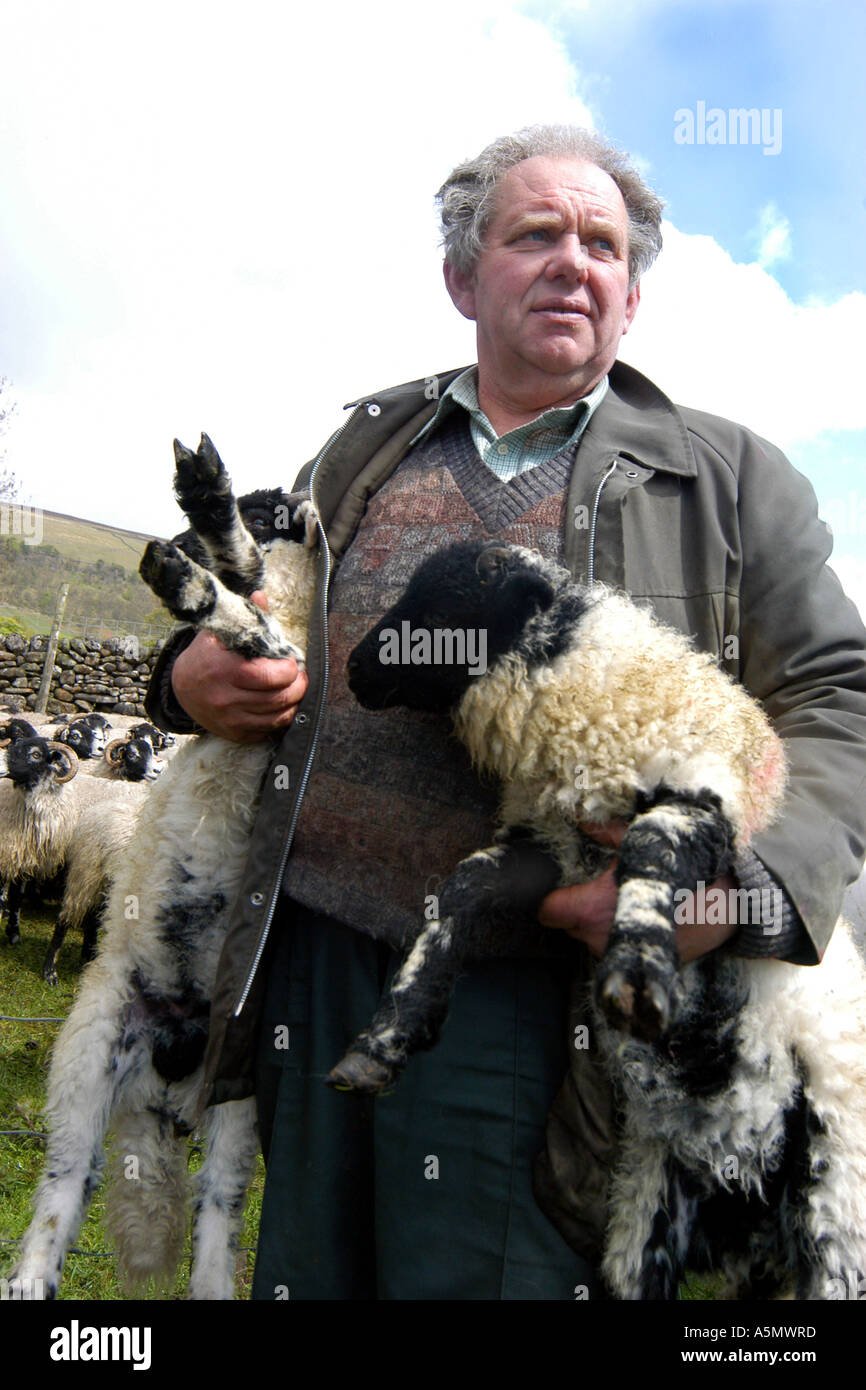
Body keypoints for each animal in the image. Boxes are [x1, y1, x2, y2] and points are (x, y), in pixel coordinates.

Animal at [7, 433, 318, 1301]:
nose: (304, 504)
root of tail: (169, 1084)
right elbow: (250, 595)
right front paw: (205, 511)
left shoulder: (296, 677)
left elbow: (256, 617)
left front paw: (198, 560)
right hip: (86, 1063)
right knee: (62, 1191)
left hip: (236, 1114)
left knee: (214, 1234)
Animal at [328, 536, 866, 1295]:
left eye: (439, 610)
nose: (350, 670)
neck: (585, 690)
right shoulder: (545, 848)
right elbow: (460, 890)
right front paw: (384, 1038)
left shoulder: (699, 797)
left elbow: (649, 851)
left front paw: (636, 975)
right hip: (651, 1218)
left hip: (834, 1198)